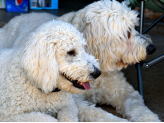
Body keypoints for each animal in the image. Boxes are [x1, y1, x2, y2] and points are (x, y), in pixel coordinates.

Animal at [0, 0, 160, 121]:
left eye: (135, 27)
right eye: (127, 33)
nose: (151, 48)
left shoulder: (123, 91)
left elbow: (140, 108)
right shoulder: (77, 103)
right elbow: (101, 115)